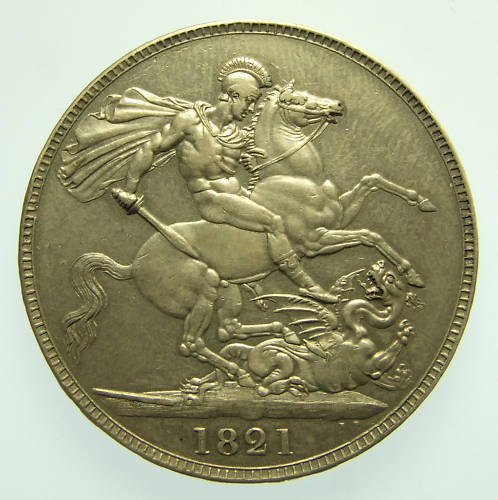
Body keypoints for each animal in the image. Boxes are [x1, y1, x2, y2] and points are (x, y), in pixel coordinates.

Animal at [63, 82, 435, 382]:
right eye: (298, 99)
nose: (338, 106)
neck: (293, 178)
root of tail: (133, 265)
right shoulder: (315, 241)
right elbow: (368, 235)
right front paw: (323, 291)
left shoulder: (340, 215)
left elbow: (373, 183)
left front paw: (422, 207)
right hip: (204, 286)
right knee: (191, 343)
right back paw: (240, 370)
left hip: (228, 290)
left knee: (228, 329)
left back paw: (279, 337)